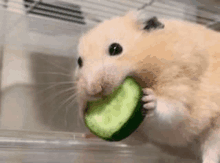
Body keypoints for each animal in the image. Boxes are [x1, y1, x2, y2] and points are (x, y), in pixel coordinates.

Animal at [75, 9, 220, 163]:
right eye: (79, 61)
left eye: (115, 48)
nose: (94, 90)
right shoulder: (136, 134)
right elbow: (131, 139)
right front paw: (83, 115)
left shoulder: (180, 84)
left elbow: (171, 111)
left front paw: (148, 99)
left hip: (216, 133)